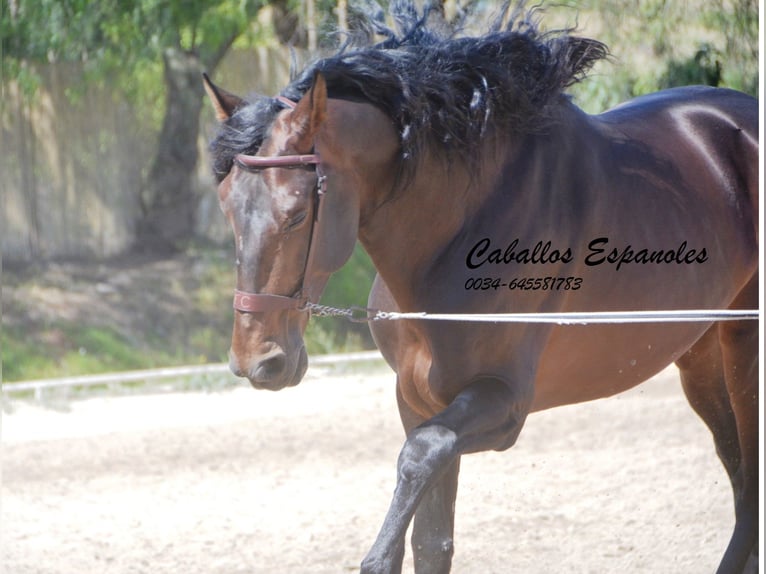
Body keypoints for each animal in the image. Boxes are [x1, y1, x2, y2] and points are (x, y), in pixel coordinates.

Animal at [204, 3, 760, 572]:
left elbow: (419, 455)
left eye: (296, 214)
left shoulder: (503, 402)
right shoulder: (419, 398)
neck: (458, 233)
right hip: (700, 357)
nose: (257, 362)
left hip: (744, 351)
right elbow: (432, 535)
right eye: (226, 205)